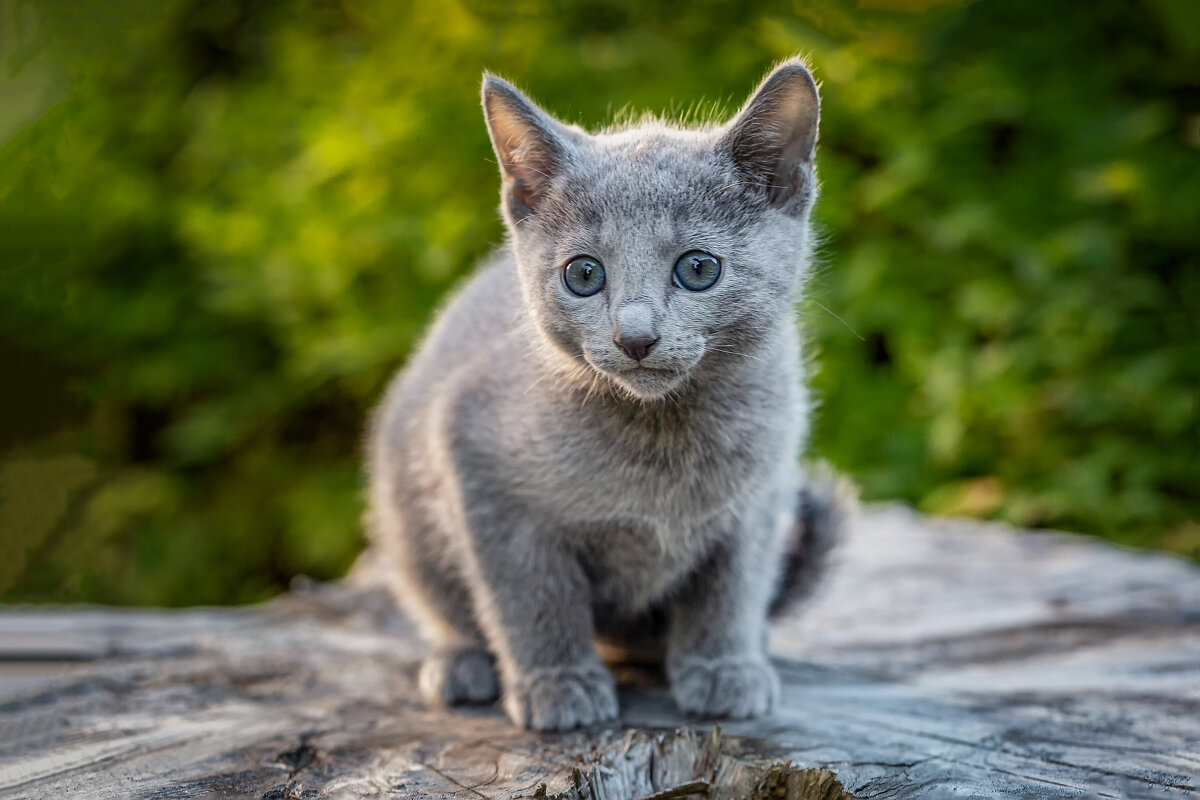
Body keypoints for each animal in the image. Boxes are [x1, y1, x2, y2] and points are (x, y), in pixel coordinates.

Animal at [364, 57, 844, 734]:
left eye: (699, 268)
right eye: (584, 275)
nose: (635, 336)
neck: (662, 436)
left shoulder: (759, 498)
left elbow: (734, 585)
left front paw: (724, 666)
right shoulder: (481, 472)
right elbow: (532, 594)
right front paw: (558, 683)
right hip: (406, 514)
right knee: (438, 599)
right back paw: (462, 663)